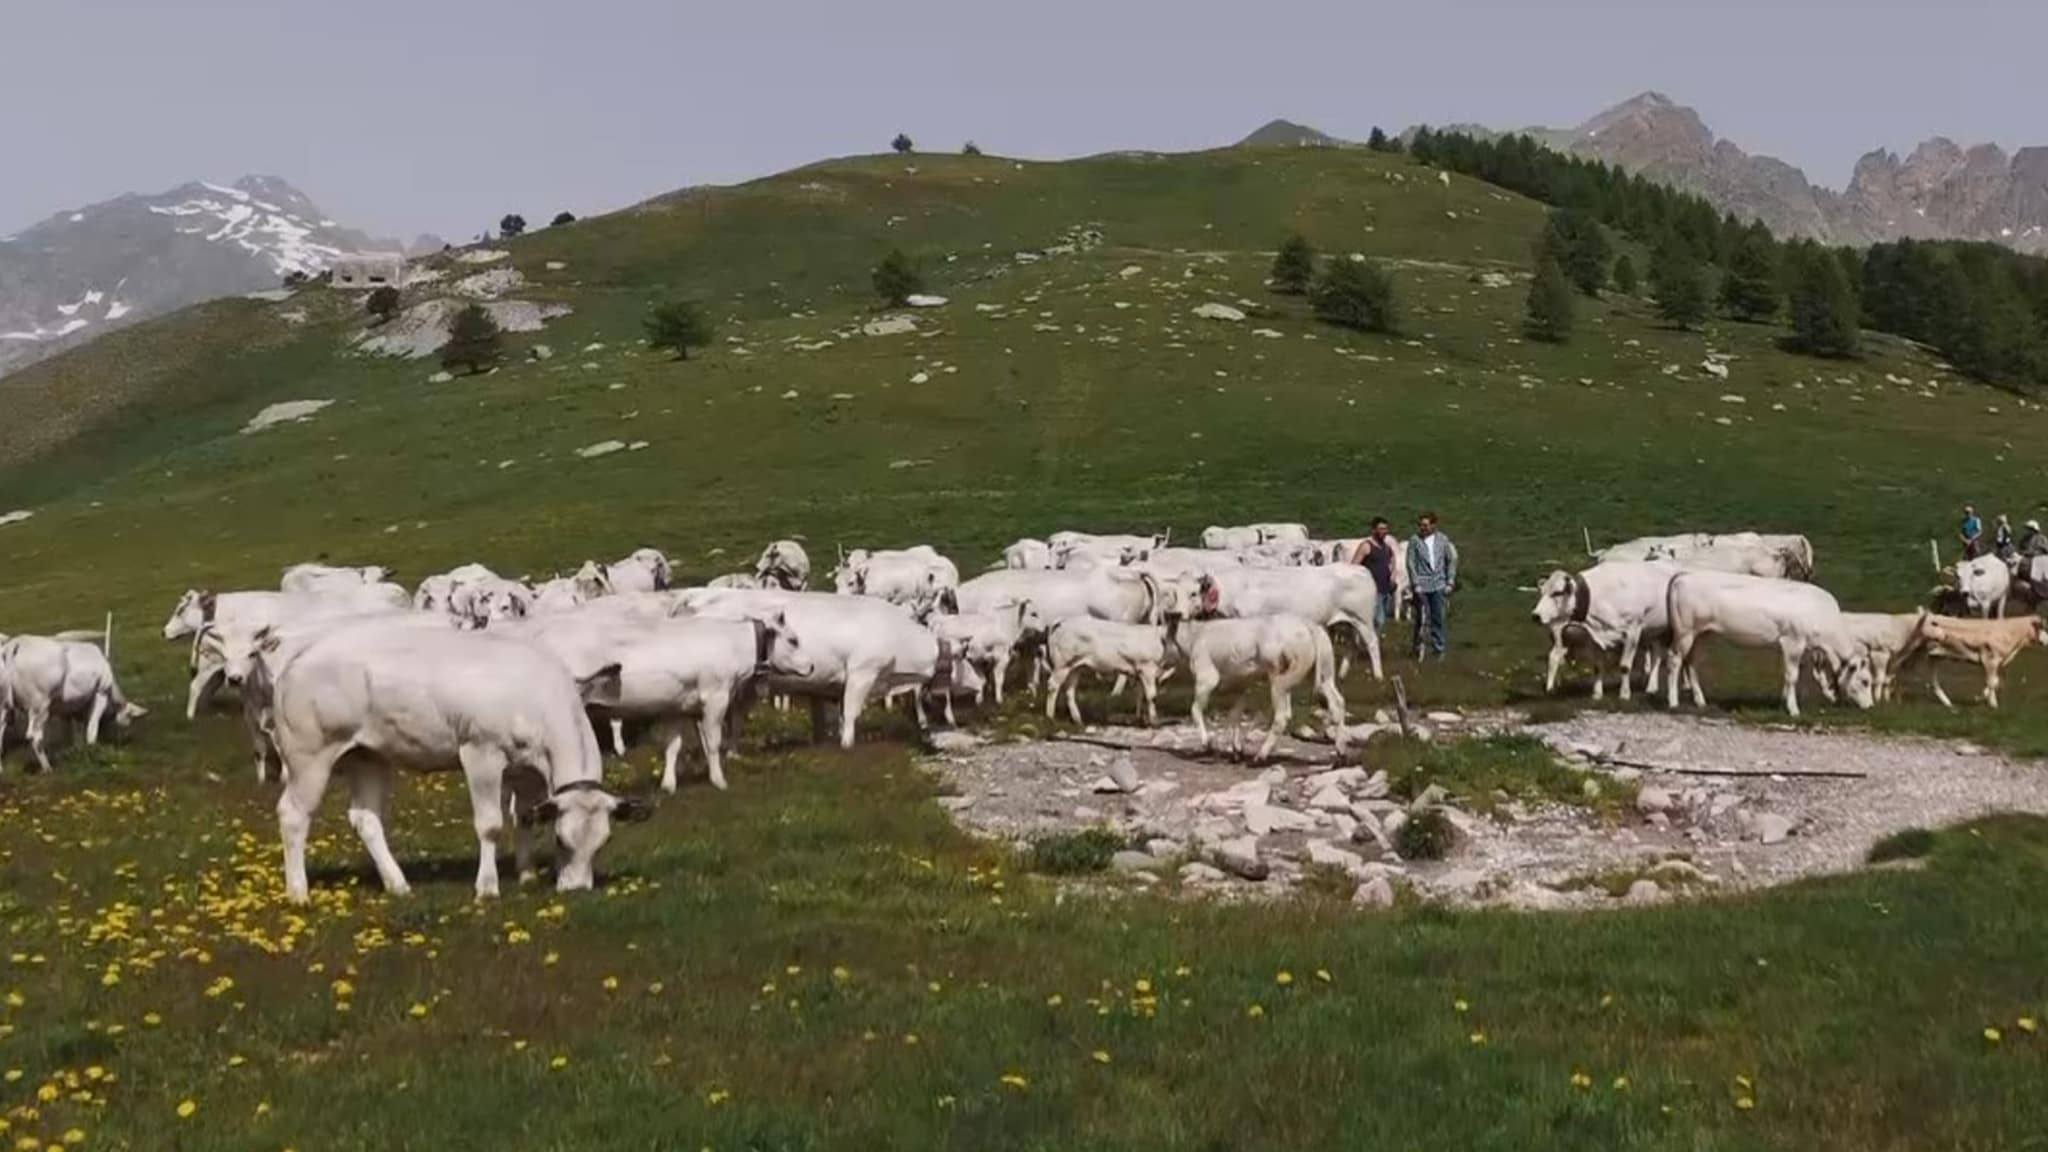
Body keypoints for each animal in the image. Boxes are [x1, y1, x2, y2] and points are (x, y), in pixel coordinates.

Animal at [0, 627, 144, 770]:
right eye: (130, 716)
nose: (124, 733)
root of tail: (17, 642)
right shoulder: (101, 692)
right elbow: (92, 726)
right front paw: (92, 750)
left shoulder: (65, 706)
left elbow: (69, 729)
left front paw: (73, 748)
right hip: (40, 705)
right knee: (34, 736)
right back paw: (48, 768)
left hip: (4, 706)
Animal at [264, 614, 643, 901]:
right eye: (561, 839)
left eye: (603, 842)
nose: (577, 889)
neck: (537, 696)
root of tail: (298, 659)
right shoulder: (481, 753)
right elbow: (490, 824)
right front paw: (487, 888)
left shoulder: (525, 770)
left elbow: (524, 817)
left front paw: (527, 875)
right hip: (309, 756)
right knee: (293, 814)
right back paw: (299, 892)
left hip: (367, 756)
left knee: (365, 818)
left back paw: (398, 884)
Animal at [1531, 557, 1687, 696]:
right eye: (1542, 592)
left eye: (1557, 593)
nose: (1535, 615)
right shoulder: (1596, 635)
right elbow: (1598, 666)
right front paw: (1597, 694)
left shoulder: (1633, 631)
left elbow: (1625, 666)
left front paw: (1624, 694)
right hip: (1654, 630)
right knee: (1656, 656)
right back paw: (1652, 687)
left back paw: (1685, 685)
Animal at [1662, 569, 1875, 713]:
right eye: (1865, 681)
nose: (1870, 705)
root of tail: (1684, 575)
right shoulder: (1793, 641)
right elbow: (1792, 676)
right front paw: (1793, 709)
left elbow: (1804, 674)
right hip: (1685, 632)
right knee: (1674, 660)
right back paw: (1673, 702)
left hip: (1700, 634)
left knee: (1691, 662)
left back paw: (1700, 701)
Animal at [1884, 610, 2048, 709]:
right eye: (2044, 628)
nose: (2047, 641)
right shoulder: (1990, 658)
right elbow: (1992, 682)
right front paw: (1990, 703)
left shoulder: (1997, 661)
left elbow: (1994, 682)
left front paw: (1984, 699)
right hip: (1912, 648)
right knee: (1895, 666)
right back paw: (1888, 697)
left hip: (1931, 655)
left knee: (1927, 679)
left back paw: (1946, 703)